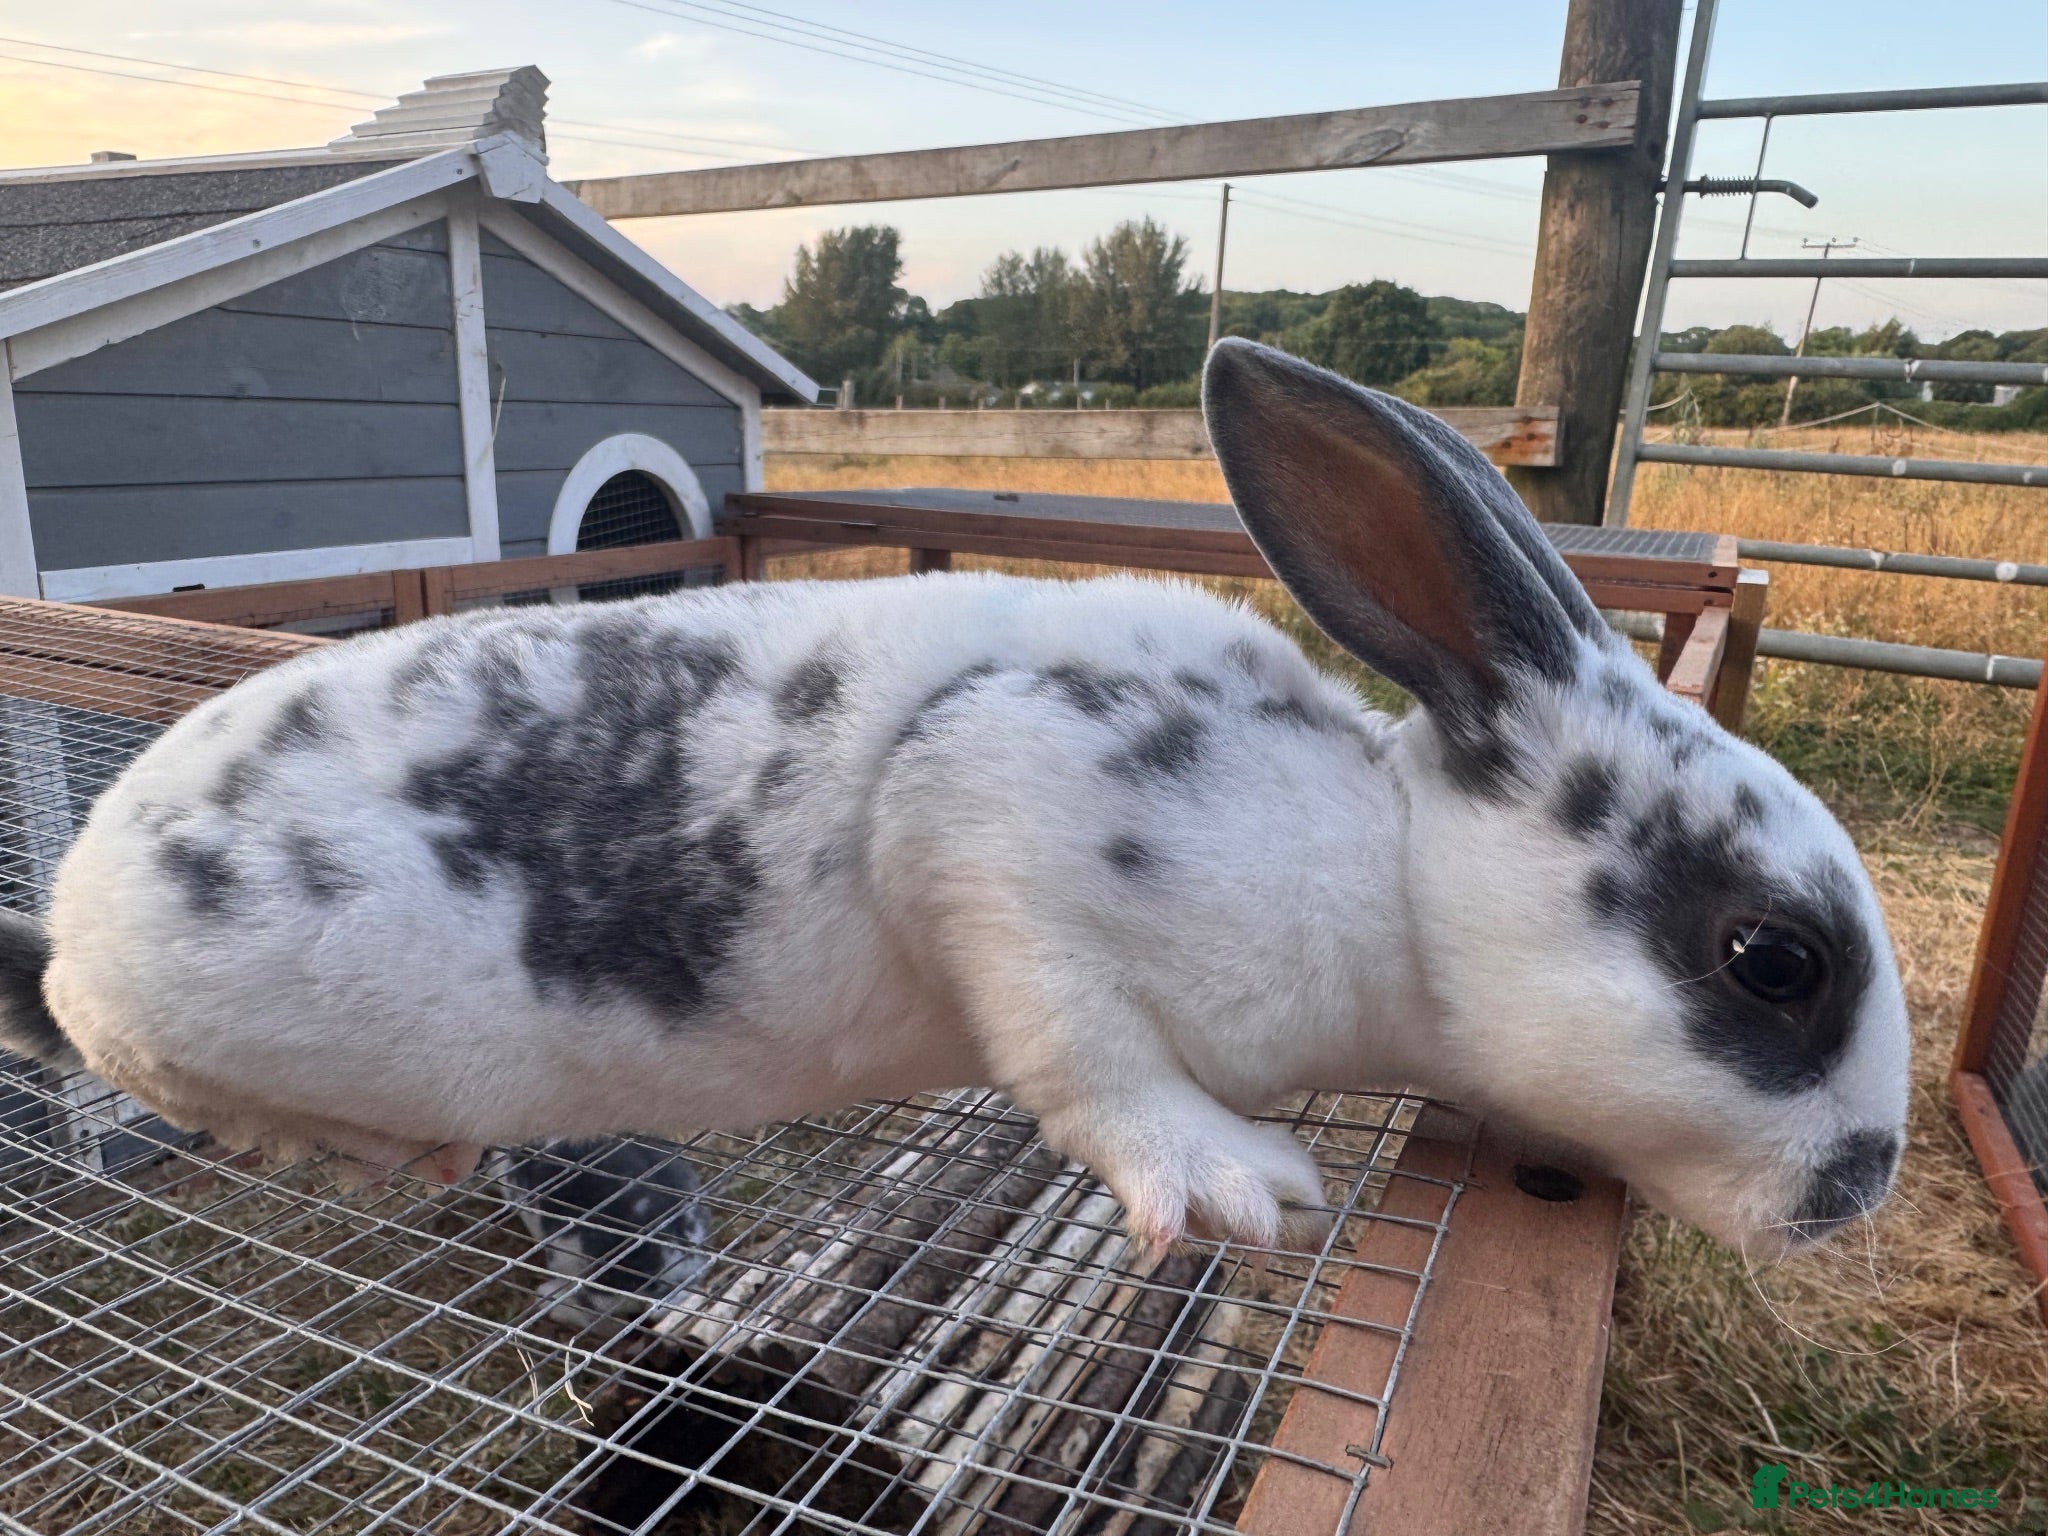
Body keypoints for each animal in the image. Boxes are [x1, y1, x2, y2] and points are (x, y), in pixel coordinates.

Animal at [0, 338, 1908, 1260]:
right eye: (1771, 958)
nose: (1860, 1190)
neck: (1387, 875)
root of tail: (71, 922)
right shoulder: (992, 821)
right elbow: (1084, 1054)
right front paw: (1238, 1188)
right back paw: (403, 1147)